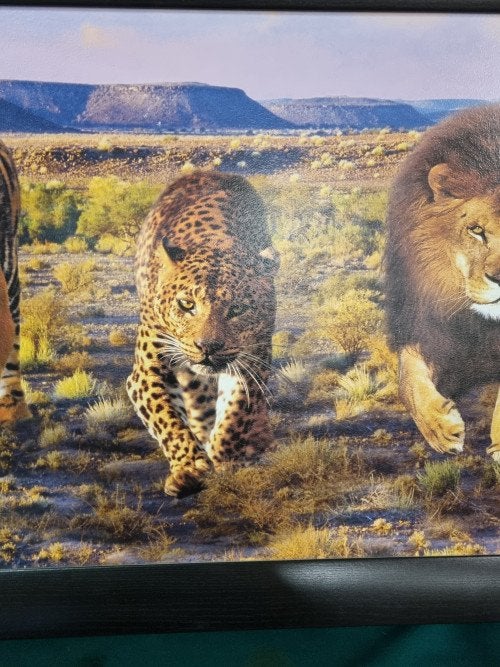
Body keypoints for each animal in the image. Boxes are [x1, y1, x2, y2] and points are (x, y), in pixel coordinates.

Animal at [127, 170, 279, 497]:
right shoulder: (147, 370)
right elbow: (167, 418)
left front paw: (224, 458)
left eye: (238, 309)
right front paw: (189, 467)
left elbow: (236, 414)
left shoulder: (251, 361)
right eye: (187, 305)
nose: (207, 346)